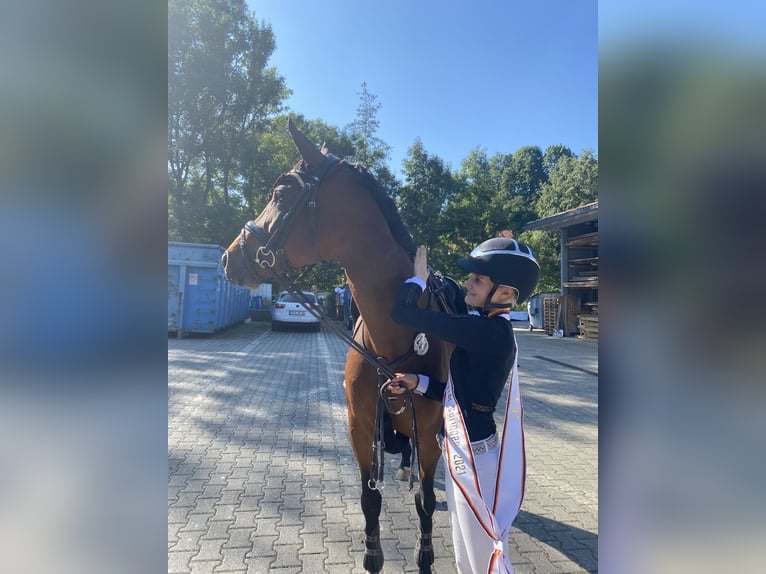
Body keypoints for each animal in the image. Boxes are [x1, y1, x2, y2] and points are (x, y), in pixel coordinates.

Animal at [221, 119, 454, 573]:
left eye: (280, 195)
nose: (230, 257)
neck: (394, 335)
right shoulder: (360, 428)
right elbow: (370, 501)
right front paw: (373, 555)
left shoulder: (430, 428)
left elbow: (426, 501)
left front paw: (425, 554)